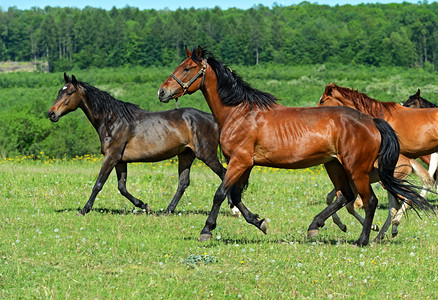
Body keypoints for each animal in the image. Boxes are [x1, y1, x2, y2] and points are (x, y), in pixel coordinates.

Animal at [48, 73, 238, 216]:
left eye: (69, 92)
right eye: (59, 92)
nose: (51, 114)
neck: (113, 121)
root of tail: (211, 118)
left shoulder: (111, 157)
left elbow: (98, 184)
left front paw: (84, 210)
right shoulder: (120, 161)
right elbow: (122, 188)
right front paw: (145, 206)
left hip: (206, 155)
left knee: (223, 174)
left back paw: (234, 208)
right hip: (186, 155)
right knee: (183, 183)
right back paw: (167, 211)